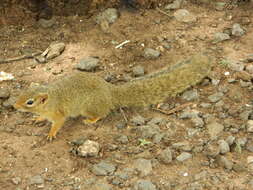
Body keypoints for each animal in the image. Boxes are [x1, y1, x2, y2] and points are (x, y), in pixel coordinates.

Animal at [13, 53, 211, 140]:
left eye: (29, 102)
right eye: (20, 94)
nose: (14, 106)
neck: (50, 101)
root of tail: (111, 93)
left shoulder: (59, 114)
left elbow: (58, 123)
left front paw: (51, 133)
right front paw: (38, 119)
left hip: (88, 107)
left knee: (102, 114)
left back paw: (90, 121)